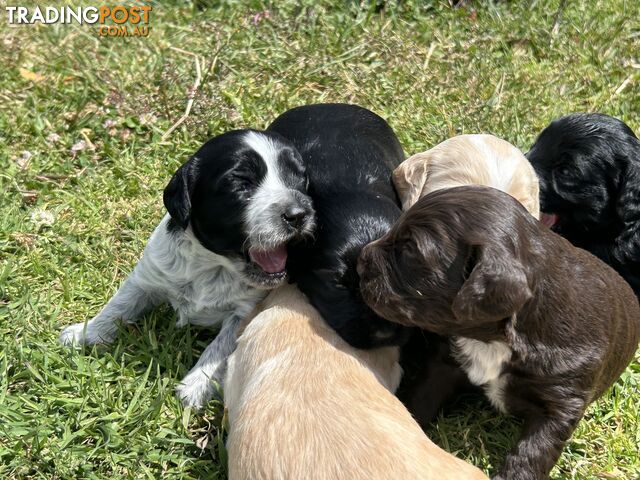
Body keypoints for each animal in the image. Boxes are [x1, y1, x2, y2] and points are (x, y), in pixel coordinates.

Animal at [60, 129, 316, 406]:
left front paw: (197, 384)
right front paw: (84, 333)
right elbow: (118, 305)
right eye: (241, 183)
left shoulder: (245, 309)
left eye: (300, 178)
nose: (300, 214)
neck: (214, 266)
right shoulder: (147, 276)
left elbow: (222, 344)